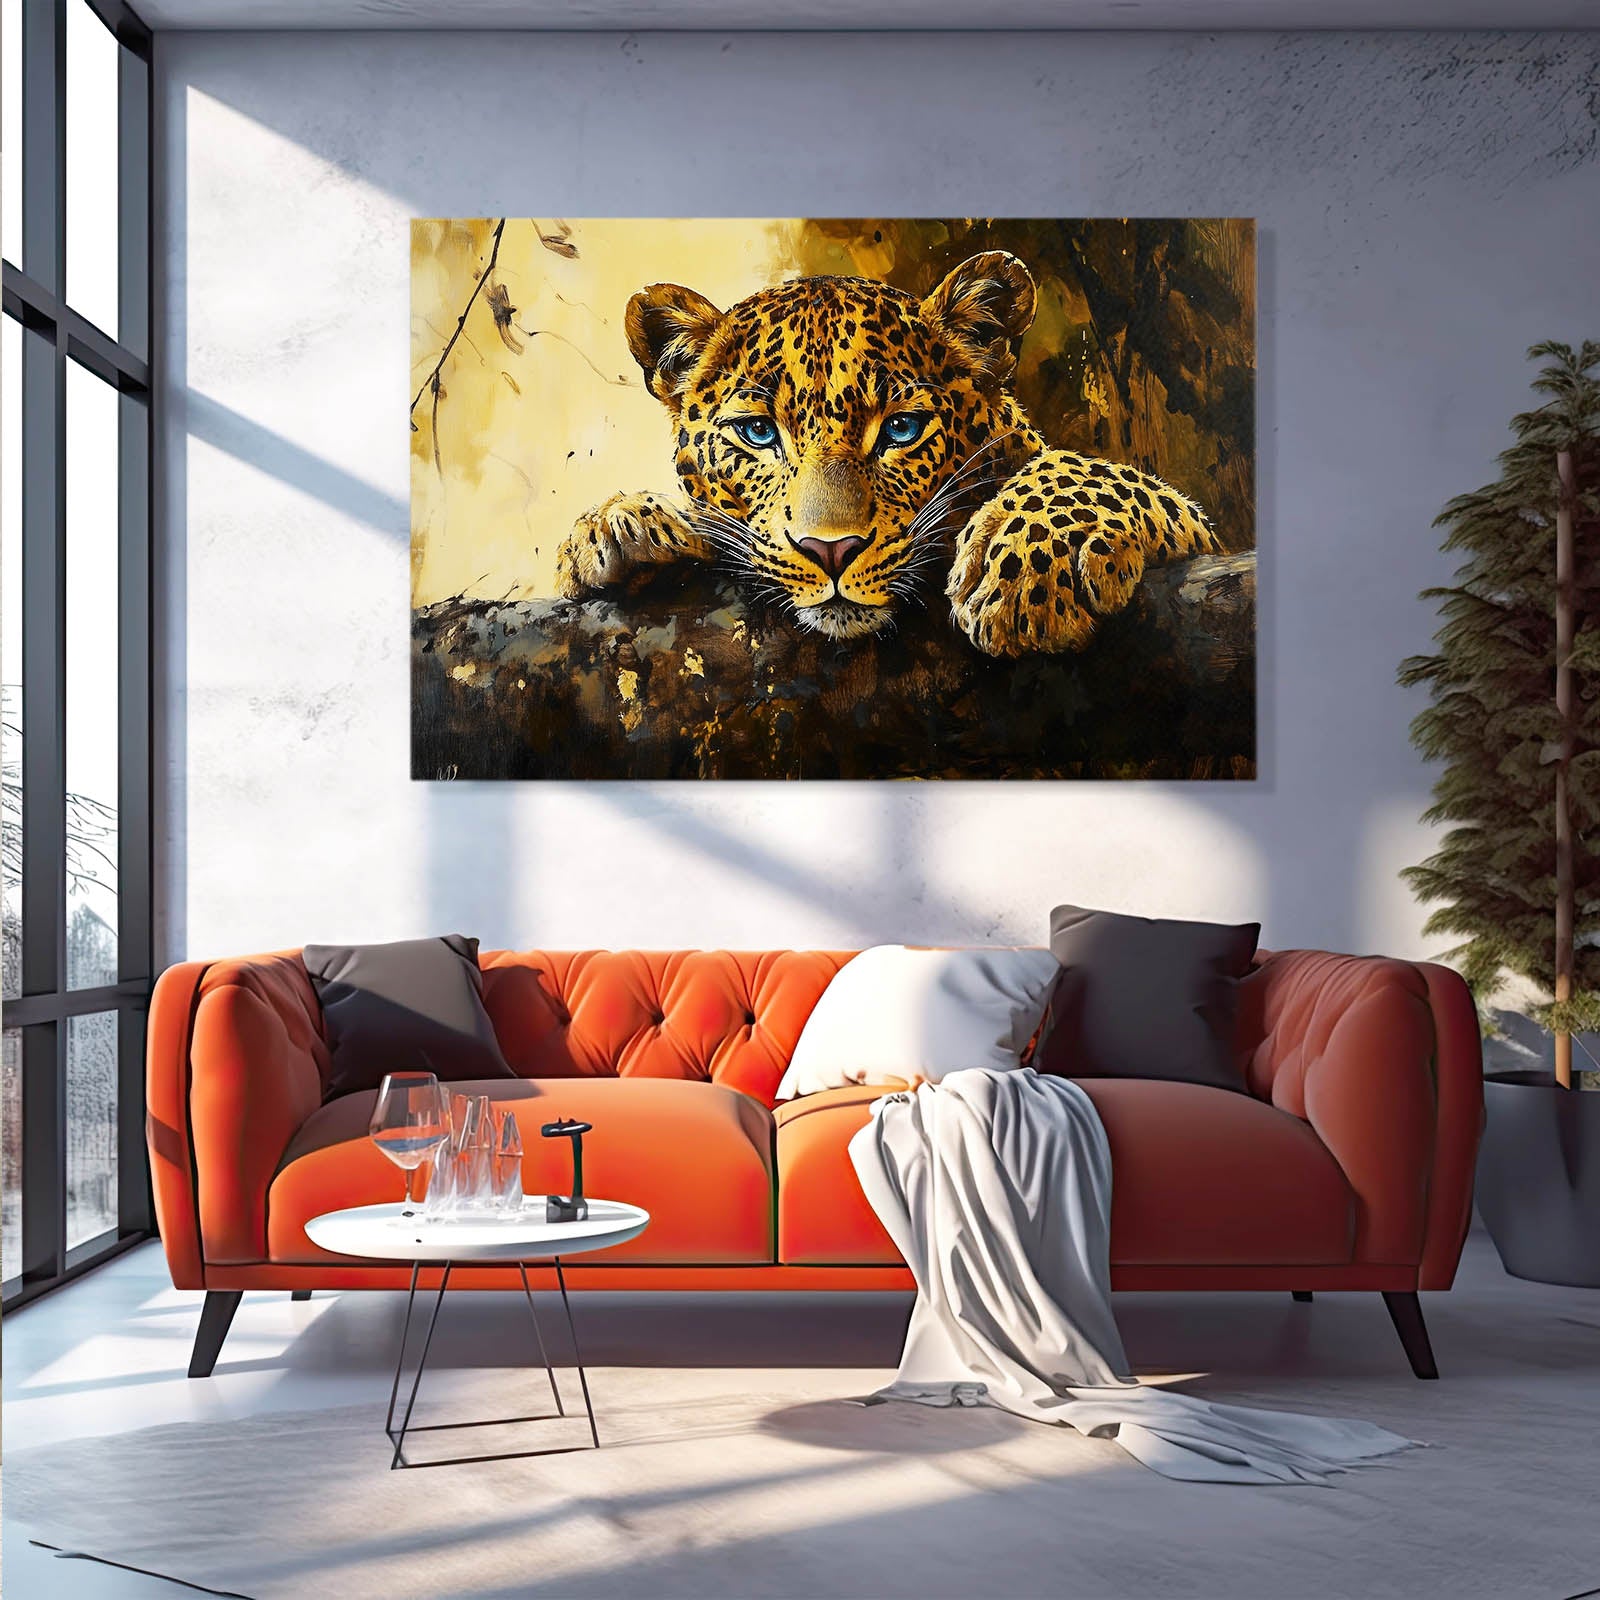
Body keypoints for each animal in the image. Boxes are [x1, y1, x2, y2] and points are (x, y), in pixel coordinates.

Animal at [555, 250, 1221, 657]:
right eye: (759, 434)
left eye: (901, 430)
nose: (830, 551)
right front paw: (618, 526)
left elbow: (1092, 472)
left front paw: (1027, 570)